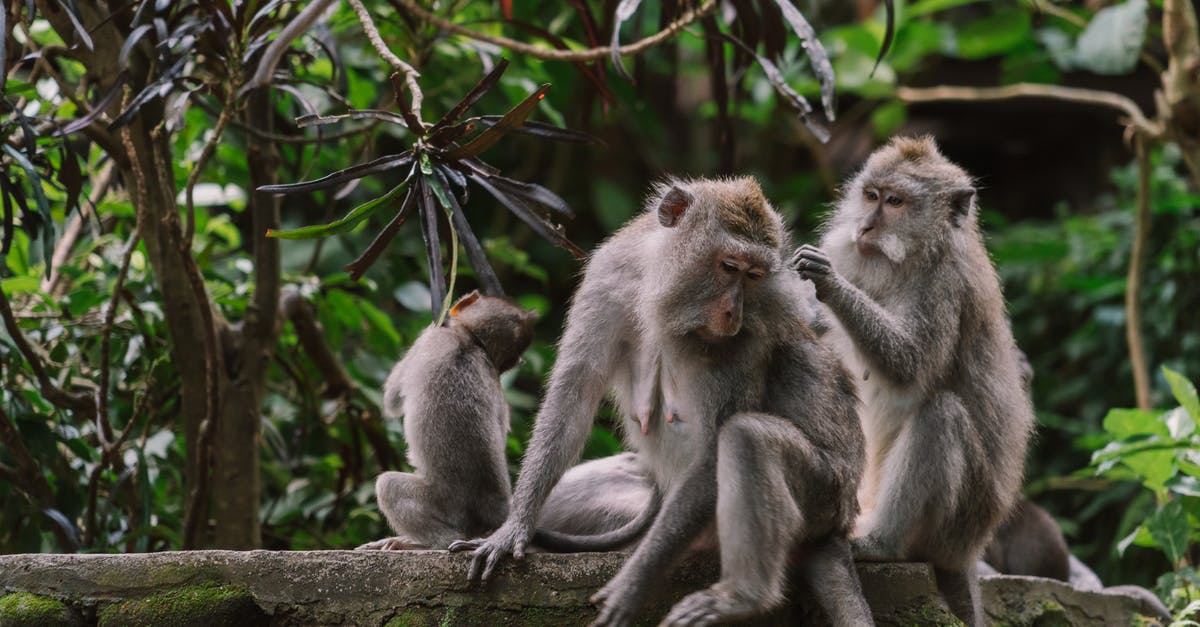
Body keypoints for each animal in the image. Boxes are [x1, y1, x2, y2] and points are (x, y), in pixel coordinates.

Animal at [453, 175, 868, 624]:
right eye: (729, 267)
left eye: (755, 275)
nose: (733, 314)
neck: (658, 282)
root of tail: (840, 522)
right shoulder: (610, 275)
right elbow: (574, 395)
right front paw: (514, 527)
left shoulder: (743, 339)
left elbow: (712, 454)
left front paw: (632, 586)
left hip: (825, 494)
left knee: (747, 438)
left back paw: (742, 596)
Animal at [792, 133, 1036, 619]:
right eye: (870, 196)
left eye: (895, 202)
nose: (865, 227)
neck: (913, 257)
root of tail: (970, 551)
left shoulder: (944, 286)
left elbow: (909, 366)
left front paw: (830, 283)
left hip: (960, 524)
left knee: (941, 414)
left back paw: (882, 543)